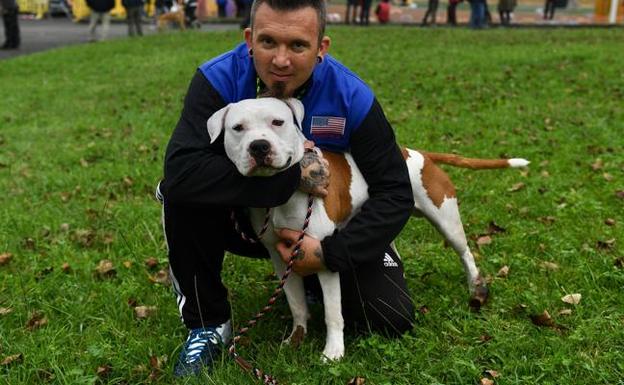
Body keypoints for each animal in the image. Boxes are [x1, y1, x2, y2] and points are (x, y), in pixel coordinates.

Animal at [207, 96, 528, 360]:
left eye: (278, 122)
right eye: (238, 128)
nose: (259, 146)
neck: (280, 195)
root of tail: (416, 153)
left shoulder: (320, 256)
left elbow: (333, 313)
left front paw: (333, 351)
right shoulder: (280, 256)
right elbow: (296, 303)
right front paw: (296, 339)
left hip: (446, 219)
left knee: (466, 253)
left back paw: (476, 287)